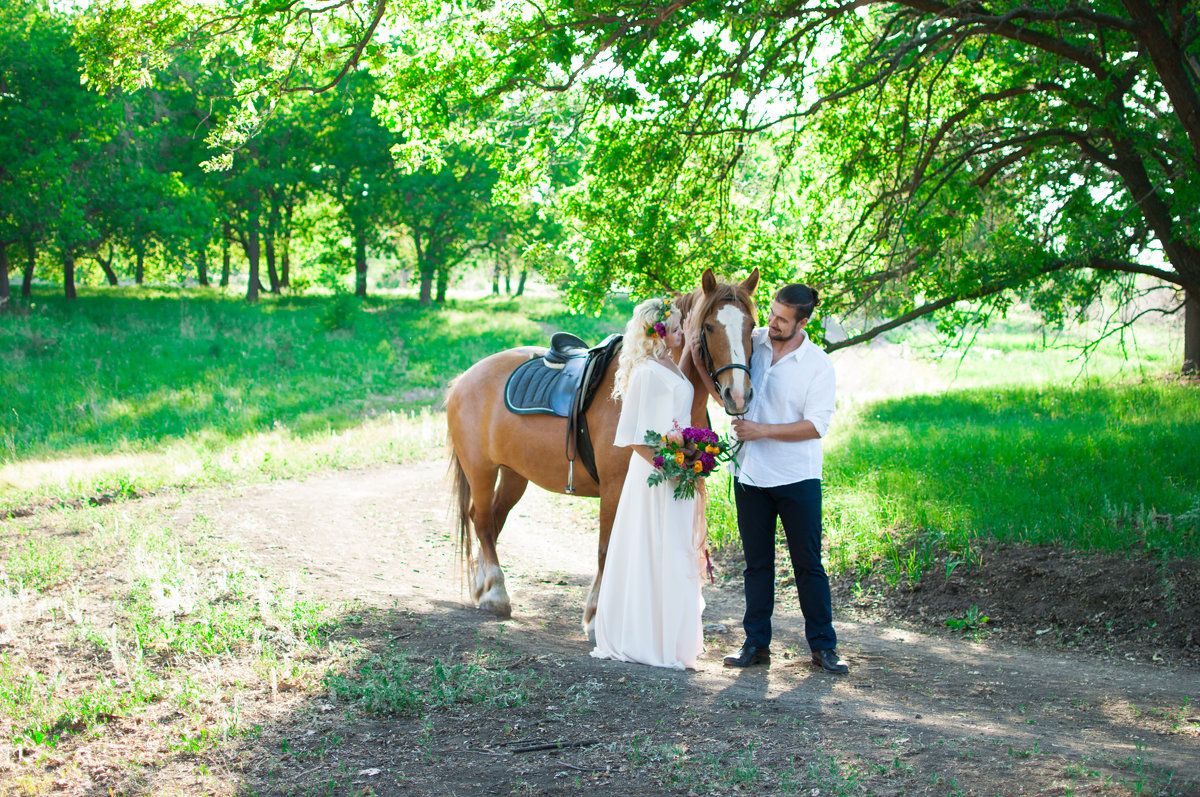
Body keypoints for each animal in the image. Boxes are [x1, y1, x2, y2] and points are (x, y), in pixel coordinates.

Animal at [446, 271, 763, 638]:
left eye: (751, 325)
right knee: (482, 521)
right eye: (710, 327)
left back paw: (482, 585)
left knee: (492, 521)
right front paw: (597, 618)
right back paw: (495, 593)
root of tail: (464, 379)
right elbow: (606, 549)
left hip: (514, 474)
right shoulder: (614, 486)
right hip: (481, 469)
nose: (738, 395)